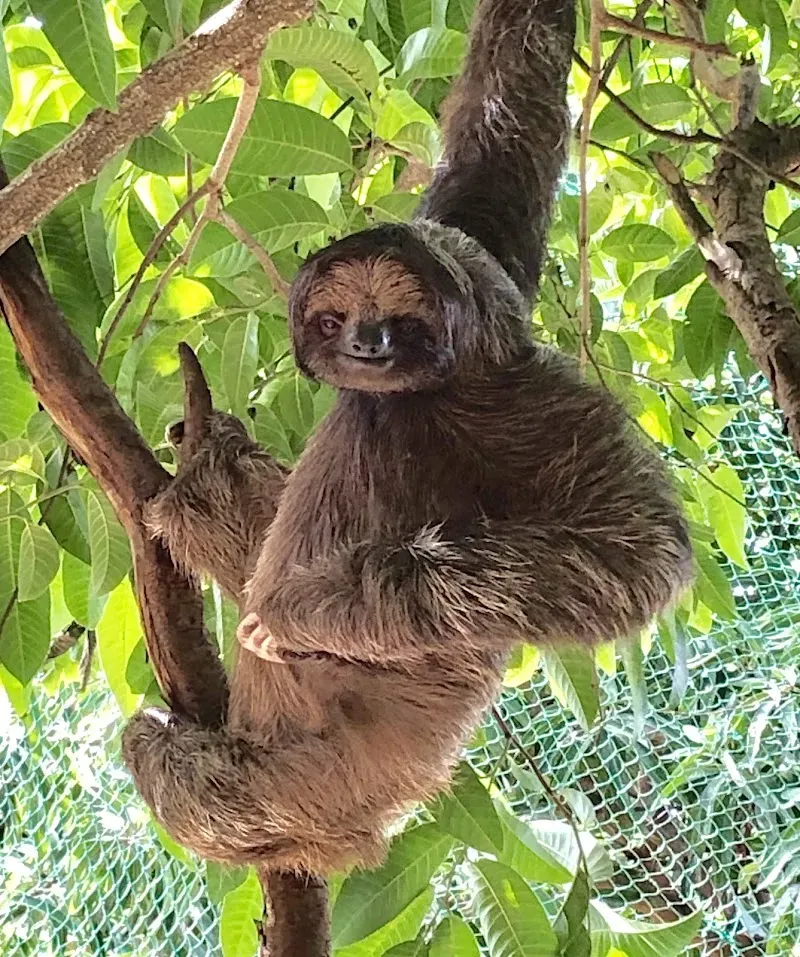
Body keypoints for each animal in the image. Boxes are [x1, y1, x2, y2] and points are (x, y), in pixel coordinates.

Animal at [122, 0, 693, 876]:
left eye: (400, 318)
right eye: (333, 317)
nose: (367, 344)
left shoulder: (526, 403)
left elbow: (635, 551)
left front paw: (302, 608)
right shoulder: (483, 248)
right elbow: (504, 124)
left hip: (318, 777)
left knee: (197, 779)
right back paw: (209, 468)